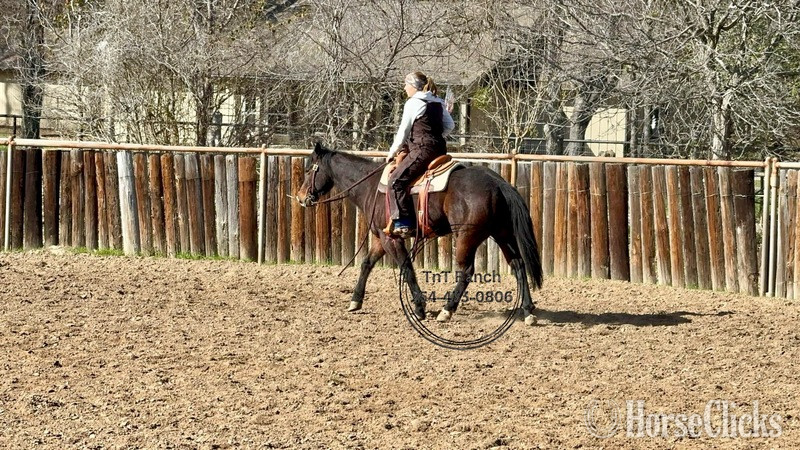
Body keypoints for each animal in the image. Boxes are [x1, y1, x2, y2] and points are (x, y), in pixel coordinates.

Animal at [296, 142, 543, 326]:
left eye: (309, 169)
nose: (300, 197)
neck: (372, 187)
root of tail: (498, 183)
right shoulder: (380, 237)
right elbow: (367, 263)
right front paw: (355, 301)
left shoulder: (391, 238)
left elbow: (406, 267)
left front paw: (419, 307)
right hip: (502, 234)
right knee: (518, 265)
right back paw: (528, 311)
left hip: (466, 237)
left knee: (467, 271)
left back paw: (446, 310)